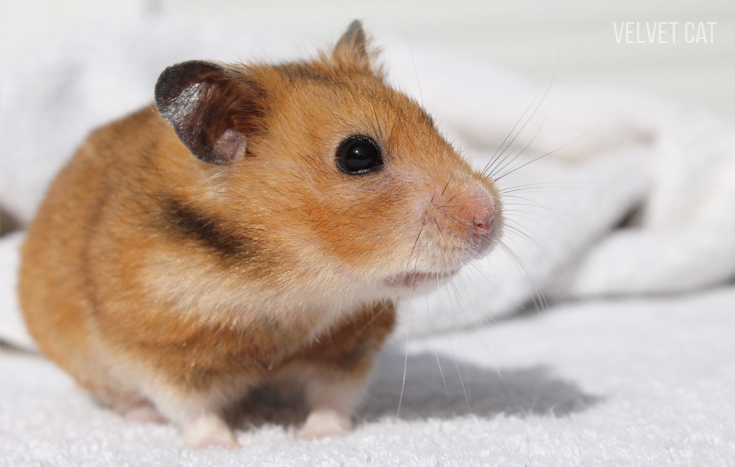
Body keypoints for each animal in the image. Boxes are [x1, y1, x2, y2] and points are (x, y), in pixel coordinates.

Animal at [19, 20, 502, 448]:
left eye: (430, 122)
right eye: (358, 154)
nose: (490, 218)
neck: (284, 283)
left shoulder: (348, 349)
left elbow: (333, 399)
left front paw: (321, 438)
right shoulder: (160, 351)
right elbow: (192, 410)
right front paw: (224, 448)